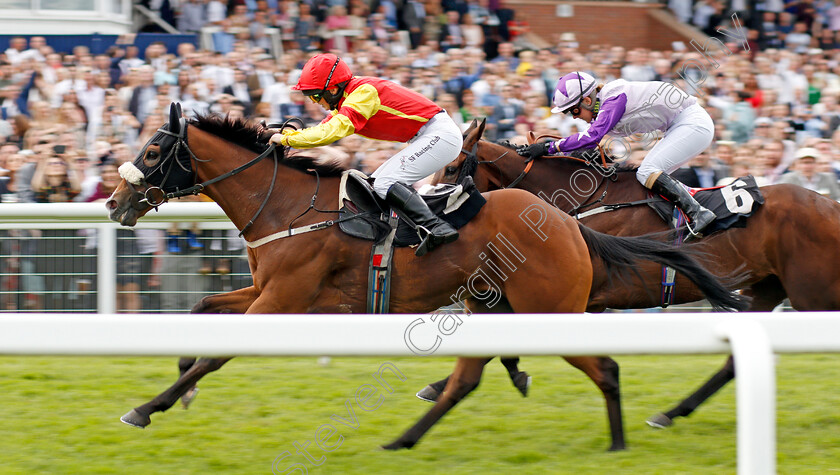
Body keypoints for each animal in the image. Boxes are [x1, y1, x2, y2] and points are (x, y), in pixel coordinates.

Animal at [105, 103, 740, 450]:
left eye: (155, 149)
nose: (115, 203)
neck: (285, 206)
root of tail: (568, 223)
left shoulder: (283, 299)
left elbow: (216, 352)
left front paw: (146, 407)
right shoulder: (267, 292)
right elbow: (202, 310)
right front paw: (178, 390)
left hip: (552, 306)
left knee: (602, 366)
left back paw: (621, 437)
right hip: (496, 305)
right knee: (473, 377)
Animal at [430, 120, 840, 432]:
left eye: (450, 168)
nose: (426, 222)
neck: (582, 204)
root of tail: (829, 203)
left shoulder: (576, 296)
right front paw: (440, 385)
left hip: (812, 294)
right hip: (768, 287)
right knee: (733, 361)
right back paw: (670, 413)